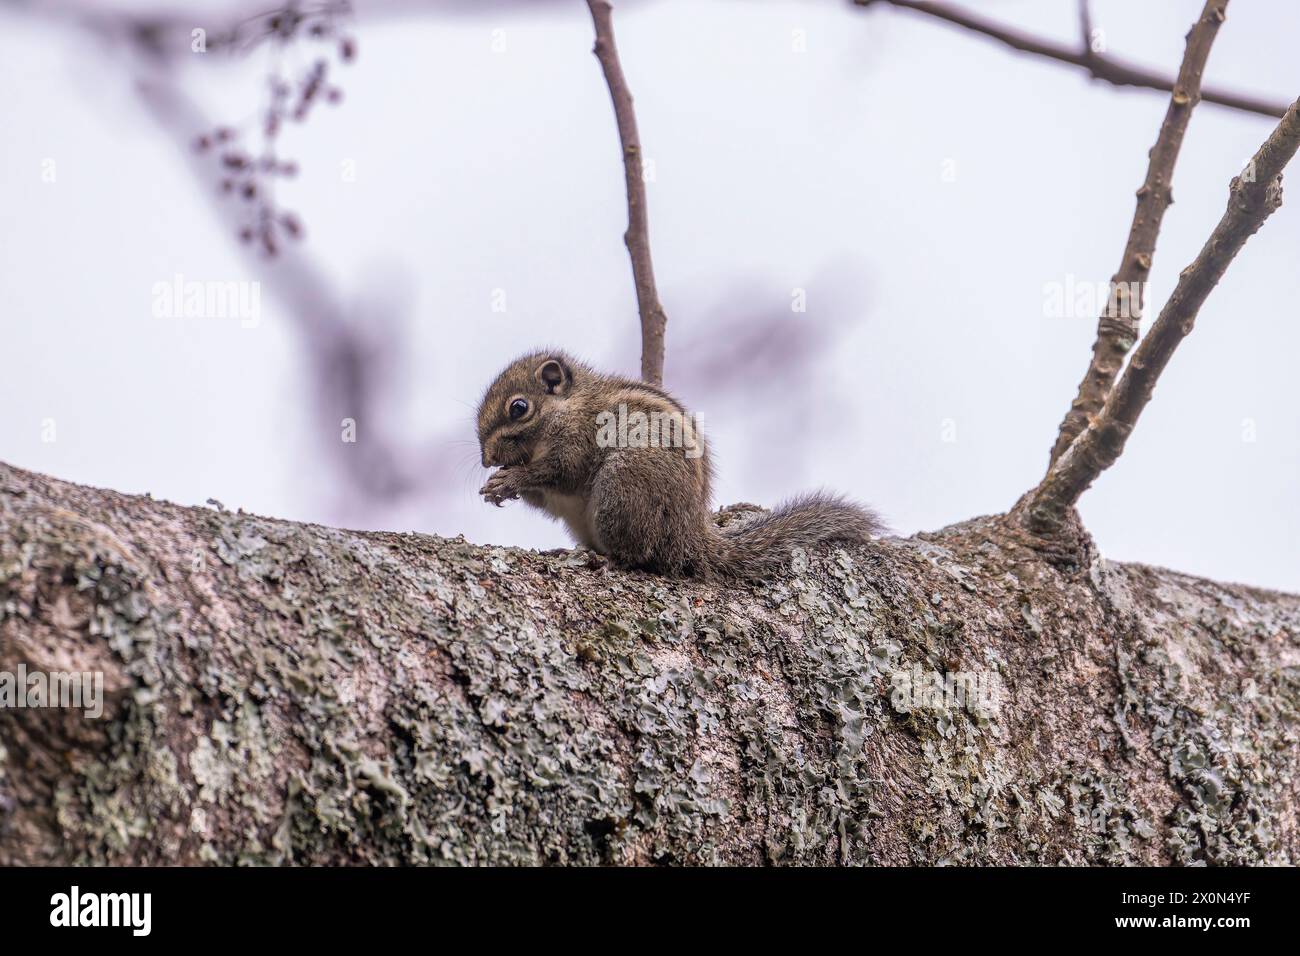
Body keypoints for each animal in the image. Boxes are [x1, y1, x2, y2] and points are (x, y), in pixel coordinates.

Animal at [476, 351, 883, 580]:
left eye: (518, 408)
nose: (486, 458)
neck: (568, 407)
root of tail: (688, 535)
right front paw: (498, 485)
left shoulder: (581, 440)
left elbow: (561, 472)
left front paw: (511, 478)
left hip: (625, 486)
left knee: (640, 554)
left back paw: (610, 560)